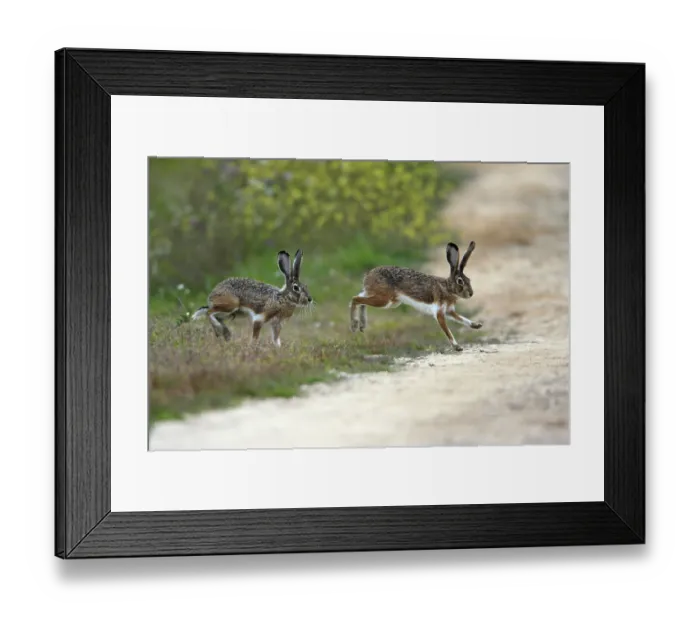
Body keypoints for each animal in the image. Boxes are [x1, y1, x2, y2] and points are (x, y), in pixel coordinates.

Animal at [349, 241, 483, 351]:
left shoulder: (449, 311)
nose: (471, 294)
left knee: (359, 298)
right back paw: (354, 325)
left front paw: (476, 325)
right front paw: (457, 346)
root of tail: (368, 276)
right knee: (355, 299)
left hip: (386, 300)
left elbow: (462, 318)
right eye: (460, 281)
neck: (447, 288)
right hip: (385, 300)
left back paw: (362, 325)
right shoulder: (439, 312)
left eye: (469, 280)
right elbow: (447, 330)